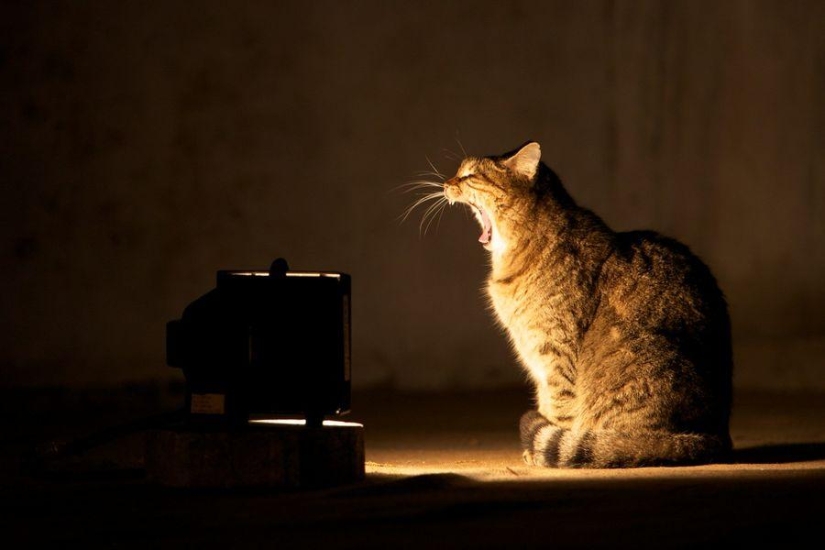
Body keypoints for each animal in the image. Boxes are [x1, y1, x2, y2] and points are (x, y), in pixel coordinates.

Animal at [428, 142, 732, 470]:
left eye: (469, 175)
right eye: (459, 171)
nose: (445, 184)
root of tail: (712, 437)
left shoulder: (556, 353)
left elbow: (560, 407)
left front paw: (545, 449)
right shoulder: (539, 361)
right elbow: (546, 402)